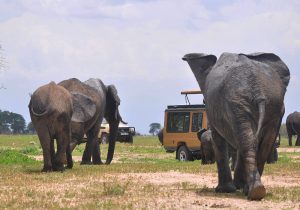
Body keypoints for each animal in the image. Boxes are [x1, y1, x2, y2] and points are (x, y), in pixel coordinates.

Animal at [183, 52, 290, 200]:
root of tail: (259, 92)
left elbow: (218, 139)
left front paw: (224, 190)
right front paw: (236, 187)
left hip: (240, 103)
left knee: (249, 142)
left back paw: (251, 191)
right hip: (270, 104)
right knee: (259, 143)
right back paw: (255, 191)